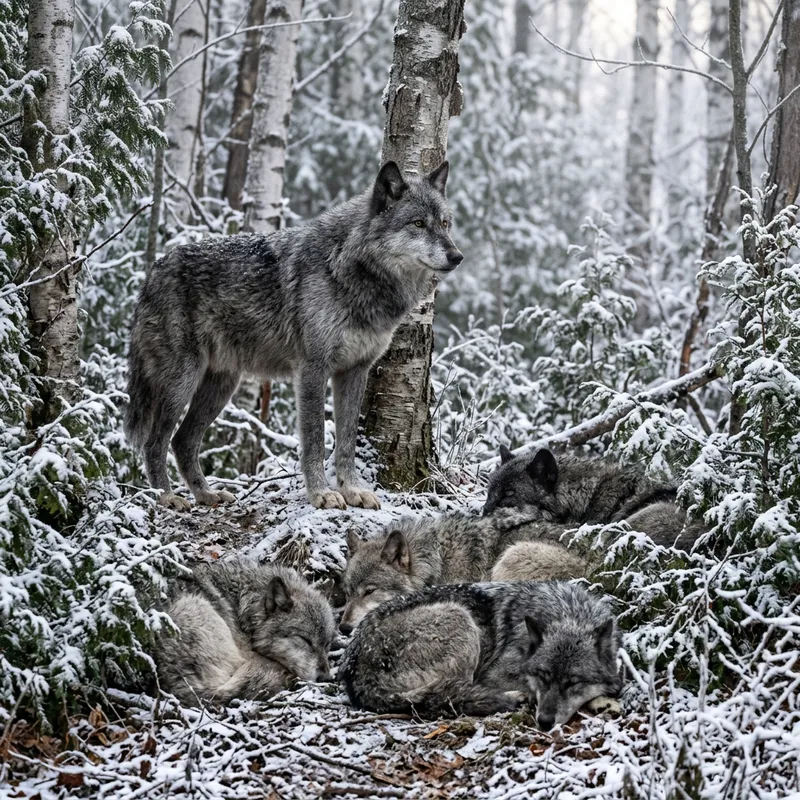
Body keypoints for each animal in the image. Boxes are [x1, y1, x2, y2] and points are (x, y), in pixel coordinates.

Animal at [125, 161, 462, 510]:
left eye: (445, 223)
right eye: (418, 223)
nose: (457, 256)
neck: (350, 269)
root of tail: (152, 273)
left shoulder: (354, 372)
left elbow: (346, 441)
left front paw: (352, 490)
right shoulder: (312, 370)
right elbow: (314, 439)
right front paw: (321, 494)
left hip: (221, 387)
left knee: (183, 441)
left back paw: (206, 494)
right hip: (182, 383)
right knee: (155, 441)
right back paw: (166, 497)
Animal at [339, 580, 623, 729]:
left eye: (573, 682)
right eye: (543, 676)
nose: (544, 722)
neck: (567, 613)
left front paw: (605, 701)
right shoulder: (495, 674)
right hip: (461, 621)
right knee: (453, 696)